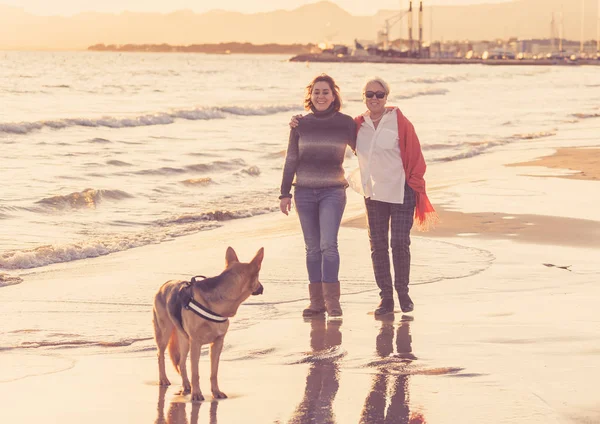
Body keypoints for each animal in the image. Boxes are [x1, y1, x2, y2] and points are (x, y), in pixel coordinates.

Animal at [152, 247, 262, 400]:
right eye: (258, 277)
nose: (262, 288)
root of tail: (164, 285)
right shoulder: (196, 343)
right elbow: (196, 372)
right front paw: (197, 394)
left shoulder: (217, 343)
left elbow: (213, 372)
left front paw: (216, 392)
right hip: (164, 334)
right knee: (160, 355)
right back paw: (164, 379)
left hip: (185, 340)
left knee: (181, 363)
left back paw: (186, 385)